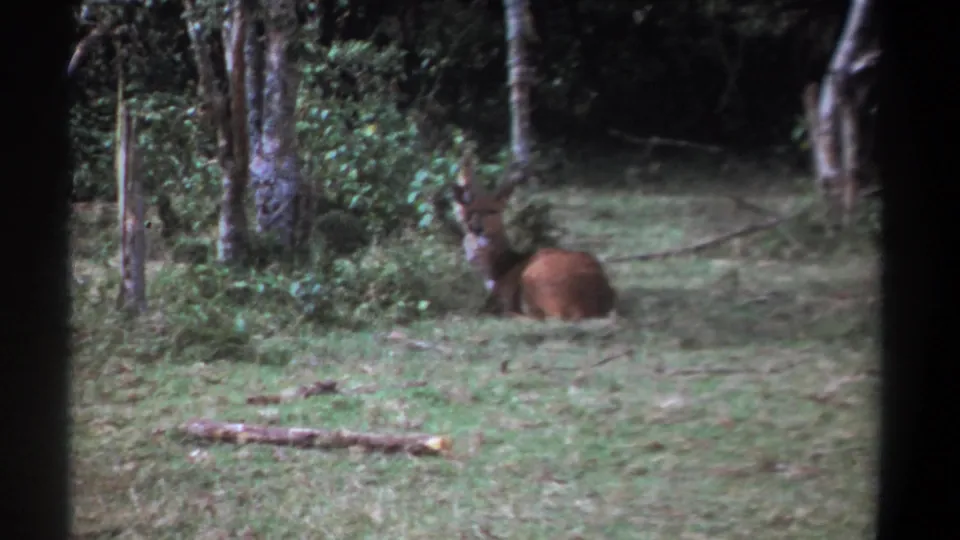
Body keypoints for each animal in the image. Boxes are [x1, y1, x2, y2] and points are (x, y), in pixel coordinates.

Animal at [449, 153, 617, 321]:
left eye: (492, 211)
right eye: (470, 213)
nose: (477, 229)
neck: (499, 270)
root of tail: (584, 308)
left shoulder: (506, 293)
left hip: (533, 277)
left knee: (539, 315)